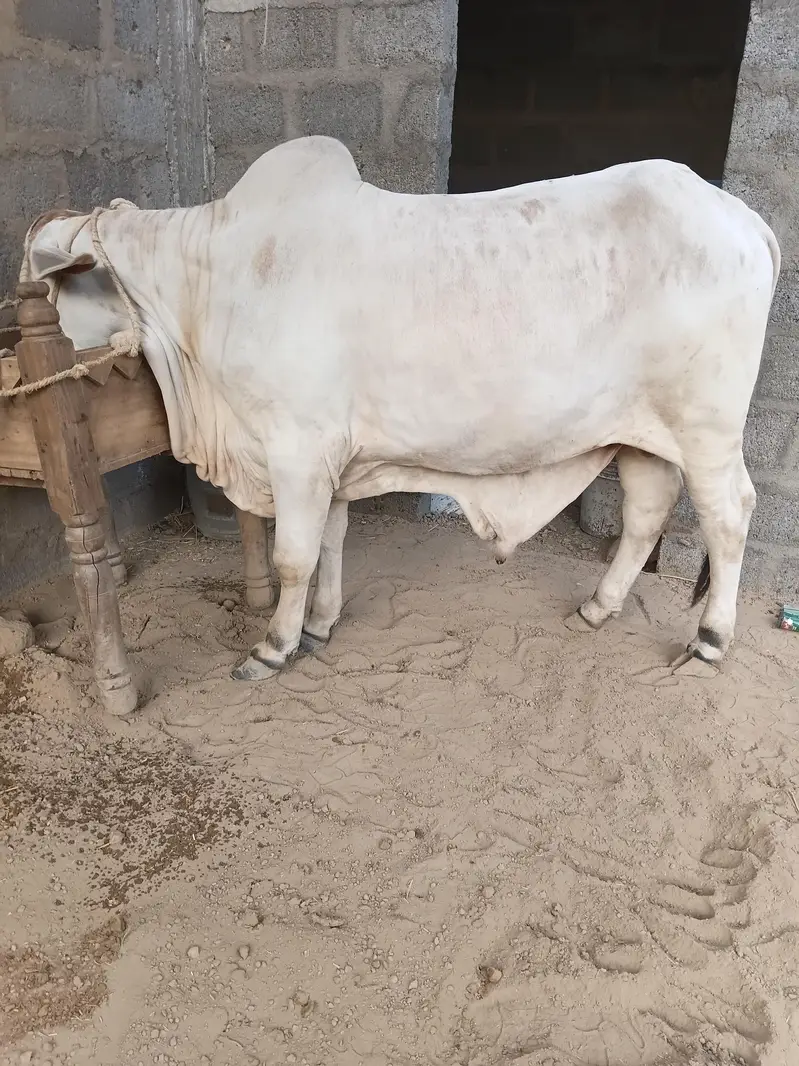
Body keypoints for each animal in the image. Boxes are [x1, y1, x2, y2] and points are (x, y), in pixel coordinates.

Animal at [22, 136, 780, 681]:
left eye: (42, 286)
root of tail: (742, 219)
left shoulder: (296, 447)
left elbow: (292, 555)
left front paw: (272, 647)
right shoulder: (331, 459)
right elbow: (330, 542)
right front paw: (318, 626)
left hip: (707, 430)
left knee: (728, 515)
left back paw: (710, 638)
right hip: (645, 434)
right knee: (647, 512)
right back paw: (597, 608)